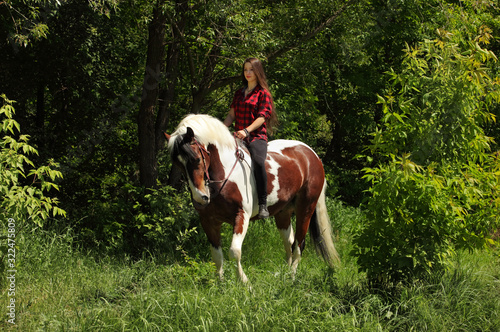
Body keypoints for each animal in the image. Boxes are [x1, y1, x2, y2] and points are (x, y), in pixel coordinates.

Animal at [165, 115, 340, 282]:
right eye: (178, 164)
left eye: (196, 159)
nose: (201, 198)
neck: (225, 173)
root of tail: (312, 155)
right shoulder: (209, 220)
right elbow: (217, 255)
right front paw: (220, 284)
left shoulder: (241, 216)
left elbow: (234, 252)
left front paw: (245, 283)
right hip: (283, 213)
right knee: (289, 242)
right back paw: (283, 275)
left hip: (306, 208)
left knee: (299, 244)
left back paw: (291, 277)